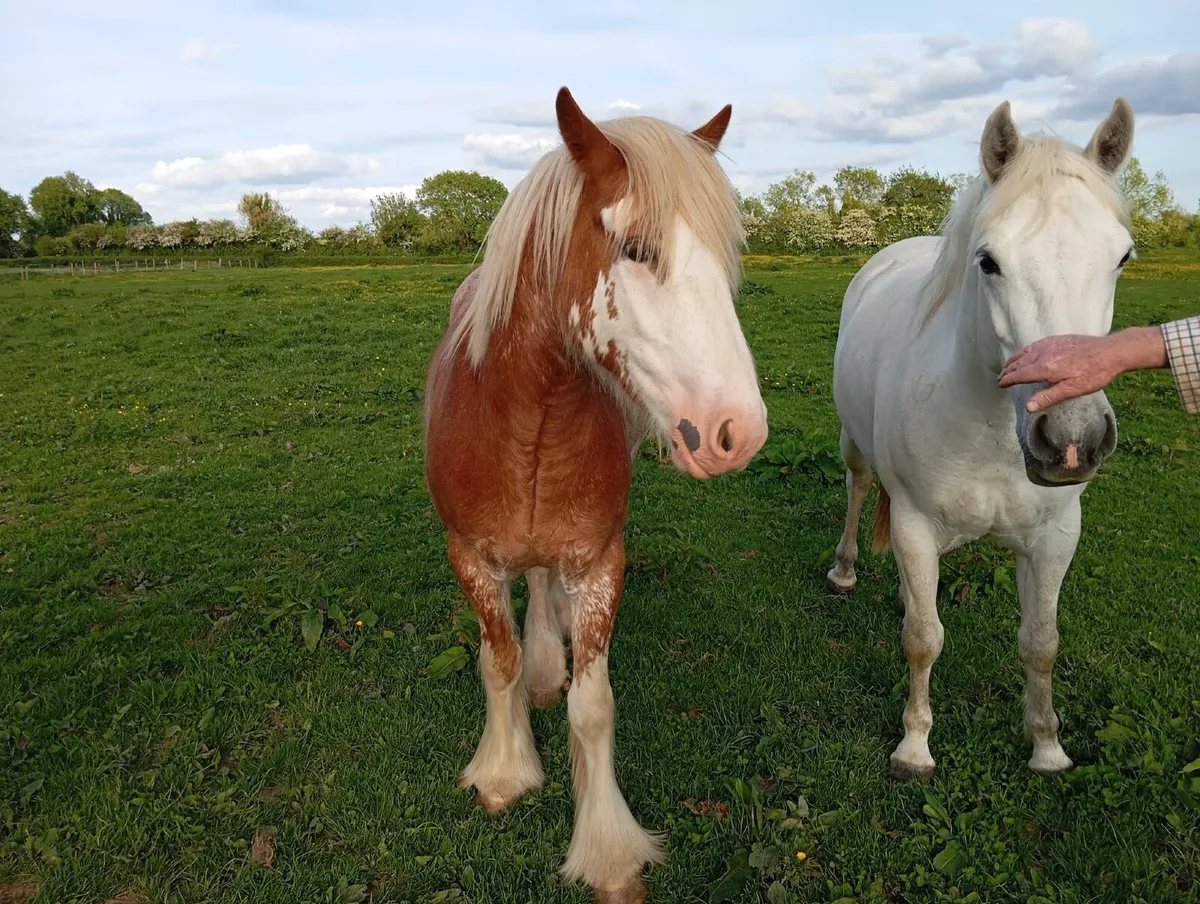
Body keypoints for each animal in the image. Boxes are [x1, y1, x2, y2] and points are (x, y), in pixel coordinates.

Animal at [423, 87, 768, 902]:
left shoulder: (601, 562)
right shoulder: (470, 558)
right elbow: (498, 660)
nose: (738, 431)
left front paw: (607, 847)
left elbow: (593, 705)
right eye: (637, 250)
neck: (529, 421)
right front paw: (504, 772)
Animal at [826, 97, 1136, 780]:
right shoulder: (915, 525)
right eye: (988, 261)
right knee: (858, 490)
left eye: (1123, 257)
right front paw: (914, 748)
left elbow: (1041, 642)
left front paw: (1046, 745)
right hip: (855, 447)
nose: (1071, 438)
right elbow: (923, 640)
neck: (993, 432)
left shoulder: (1055, 537)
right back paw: (845, 569)